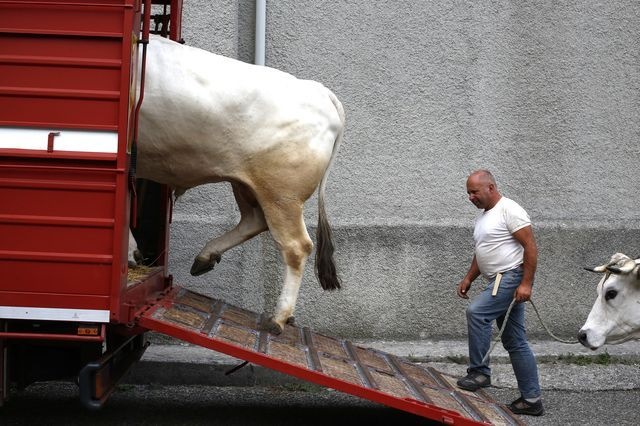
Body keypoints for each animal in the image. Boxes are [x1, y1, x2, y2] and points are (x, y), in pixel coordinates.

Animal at [129, 35, 344, 334]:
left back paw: (278, 317)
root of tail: (319, 91)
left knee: (296, 246)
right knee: (254, 221)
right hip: (246, 183)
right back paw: (205, 258)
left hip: (281, 194)